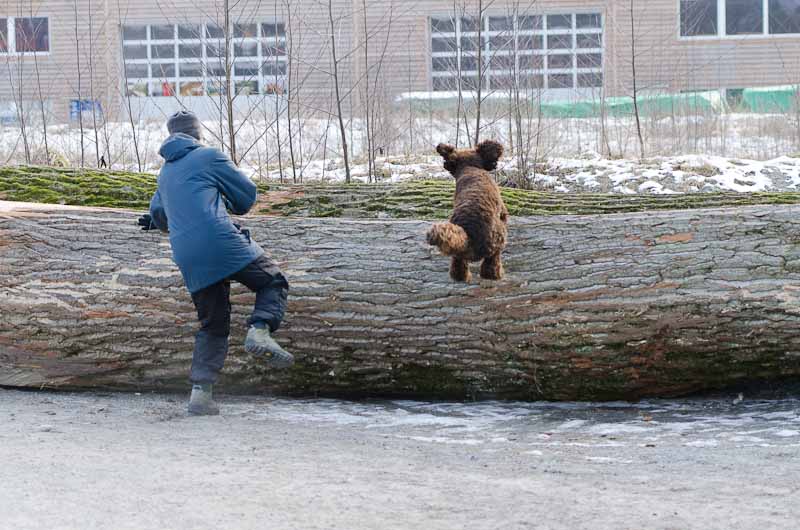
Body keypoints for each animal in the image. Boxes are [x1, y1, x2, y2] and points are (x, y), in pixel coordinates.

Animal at [426, 140, 509, 282]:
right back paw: (496, 275)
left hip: (457, 252)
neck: (470, 168)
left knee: (458, 267)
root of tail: (469, 235)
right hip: (497, 242)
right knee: (491, 265)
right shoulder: (502, 213)